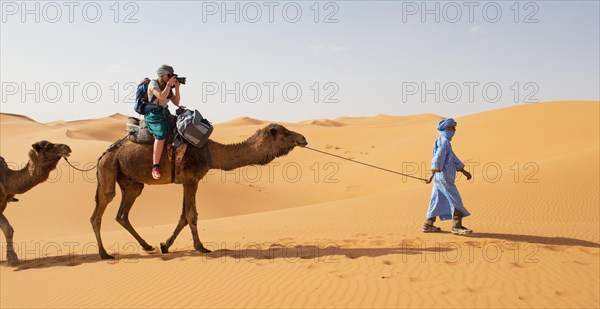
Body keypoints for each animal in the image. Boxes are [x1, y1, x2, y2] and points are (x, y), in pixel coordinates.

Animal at [91, 122, 308, 258]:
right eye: (285, 132)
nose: (303, 138)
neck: (210, 153)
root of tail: (102, 155)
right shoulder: (191, 179)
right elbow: (191, 215)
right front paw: (201, 247)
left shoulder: (188, 181)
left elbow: (183, 216)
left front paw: (165, 245)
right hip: (108, 169)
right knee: (100, 211)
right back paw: (104, 254)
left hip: (131, 182)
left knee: (122, 214)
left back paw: (147, 245)